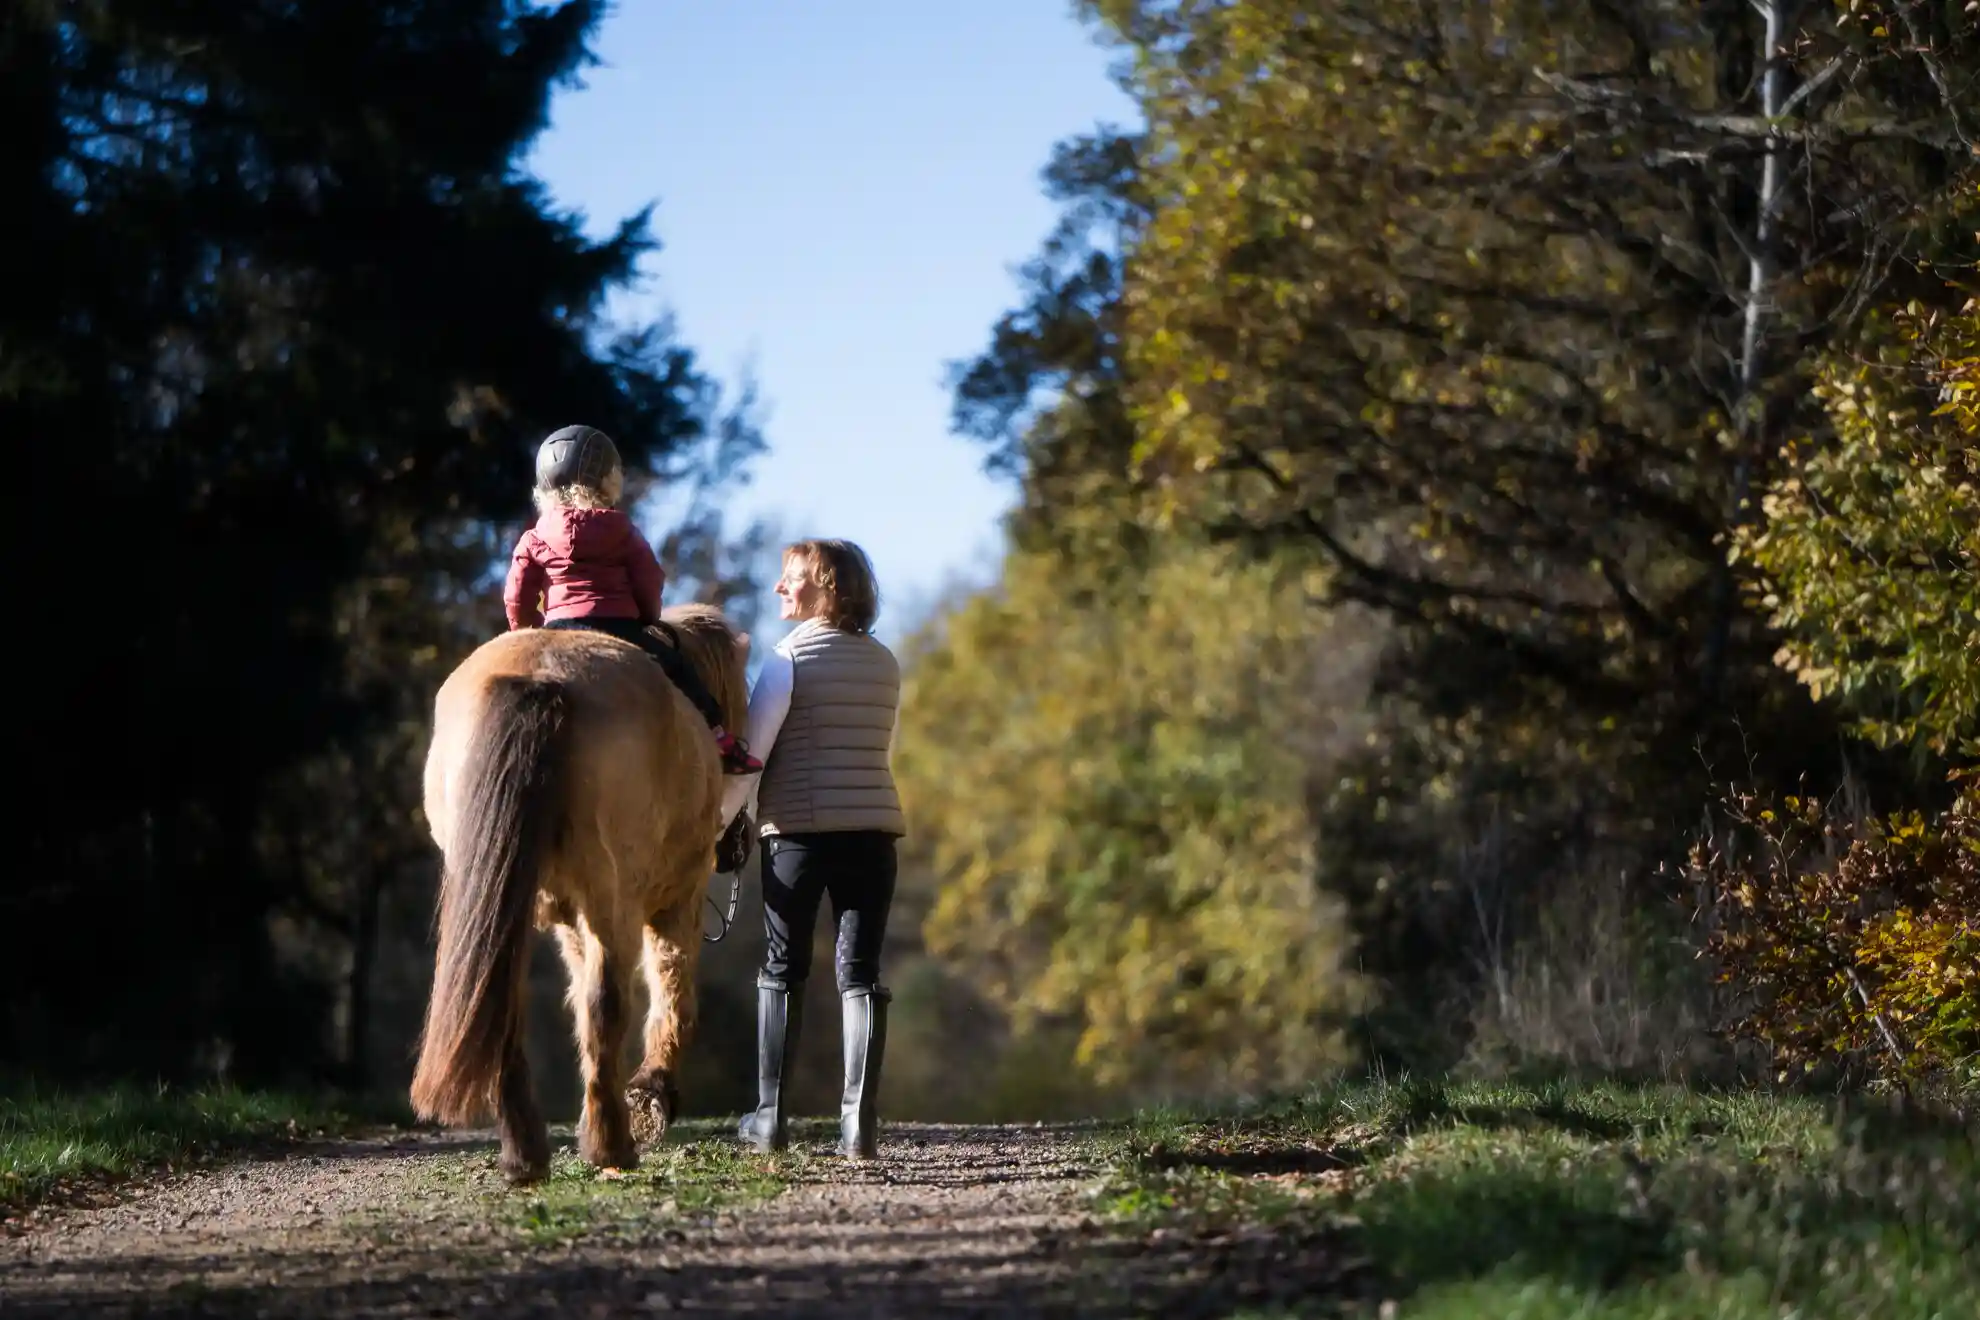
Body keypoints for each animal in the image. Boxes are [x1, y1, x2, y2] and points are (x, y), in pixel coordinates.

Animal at [409, 603, 750, 1185]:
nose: (739, 844)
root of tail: (539, 677)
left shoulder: (569, 918)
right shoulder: (677, 900)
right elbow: (672, 991)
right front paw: (652, 1093)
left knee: (507, 1002)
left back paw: (525, 1154)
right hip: (612, 899)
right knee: (607, 1001)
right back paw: (611, 1144)